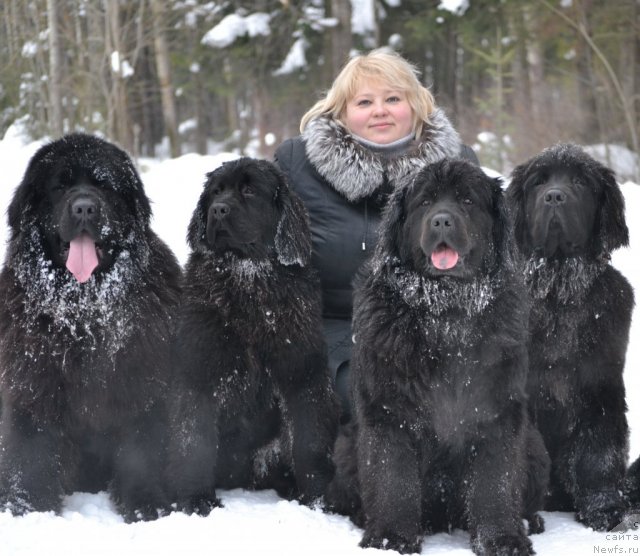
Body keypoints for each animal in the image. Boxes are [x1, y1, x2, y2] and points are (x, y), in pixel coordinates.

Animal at [0, 132, 181, 520]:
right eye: (59, 186)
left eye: (104, 186)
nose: (84, 207)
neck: (84, 314)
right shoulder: (32, 389)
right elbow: (30, 454)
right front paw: (28, 508)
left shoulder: (140, 388)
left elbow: (141, 451)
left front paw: (145, 504)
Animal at [169, 155, 340, 512]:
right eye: (215, 192)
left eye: (249, 191)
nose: (218, 210)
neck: (249, 282)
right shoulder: (198, 369)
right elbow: (193, 439)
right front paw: (195, 501)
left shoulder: (302, 373)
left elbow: (310, 442)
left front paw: (316, 500)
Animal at [328, 157, 548, 556]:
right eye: (426, 202)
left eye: (467, 201)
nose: (442, 221)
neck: (444, 314)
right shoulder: (389, 410)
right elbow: (393, 479)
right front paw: (390, 538)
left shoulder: (496, 409)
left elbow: (495, 481)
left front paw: (502, 539)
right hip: (347, 445)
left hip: (536, 445)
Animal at [504, 142, 636, 528]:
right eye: (538, 182)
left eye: (579, 181)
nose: (554, 196)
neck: (559, 290)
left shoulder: (600, 387)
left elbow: (597, 453)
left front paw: (604, 509)